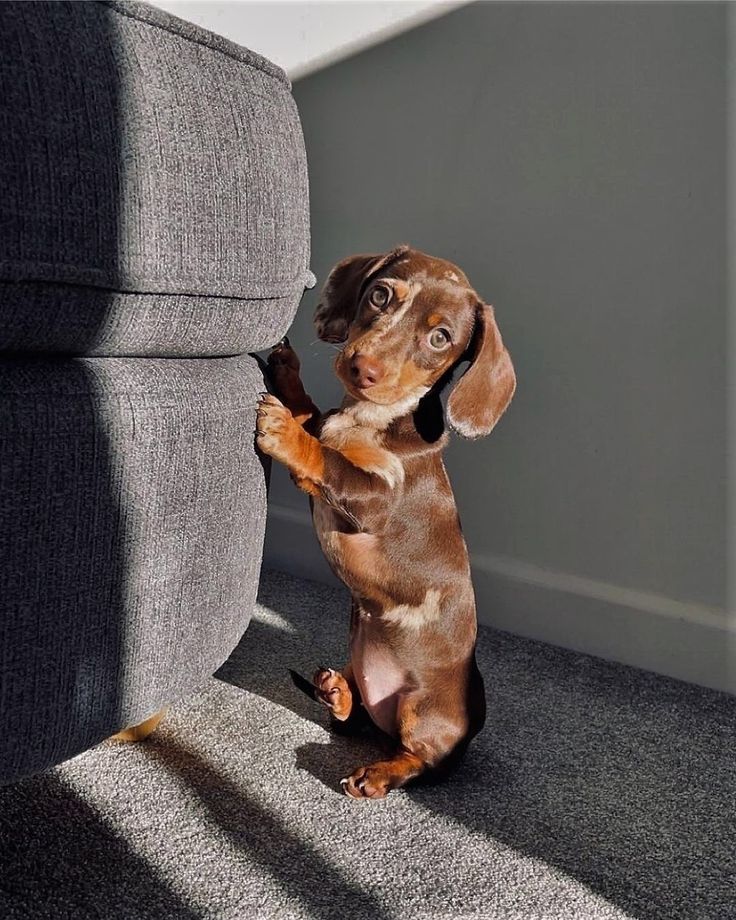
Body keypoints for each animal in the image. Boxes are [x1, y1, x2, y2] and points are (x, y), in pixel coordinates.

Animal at [256, 244, 516, 796]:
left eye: (440, 337)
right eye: (380, 295)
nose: (363, 368)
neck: (371, 417)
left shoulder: (376, 500)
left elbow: (327, 458)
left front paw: (284, 430)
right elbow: (315, 418)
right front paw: (289, 379)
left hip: (424, 712)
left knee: (416, 759)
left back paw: (376, 775)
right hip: (359, 670)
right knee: (355, 721)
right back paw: (337, 693)